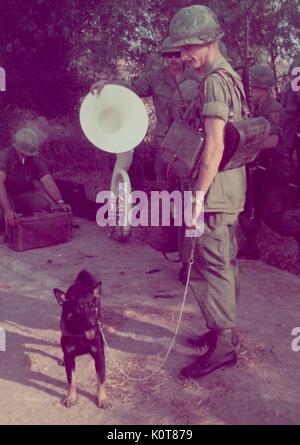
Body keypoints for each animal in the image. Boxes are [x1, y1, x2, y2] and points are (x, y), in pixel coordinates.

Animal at [53, 268, 109, 408]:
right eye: (79, 309)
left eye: (92, 307)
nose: (92, 324)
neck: (81, 335)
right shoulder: (70, 358)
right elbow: (71, 380)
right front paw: (71, 397)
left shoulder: (99, 357)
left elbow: (100, 380)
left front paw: (102, 399)